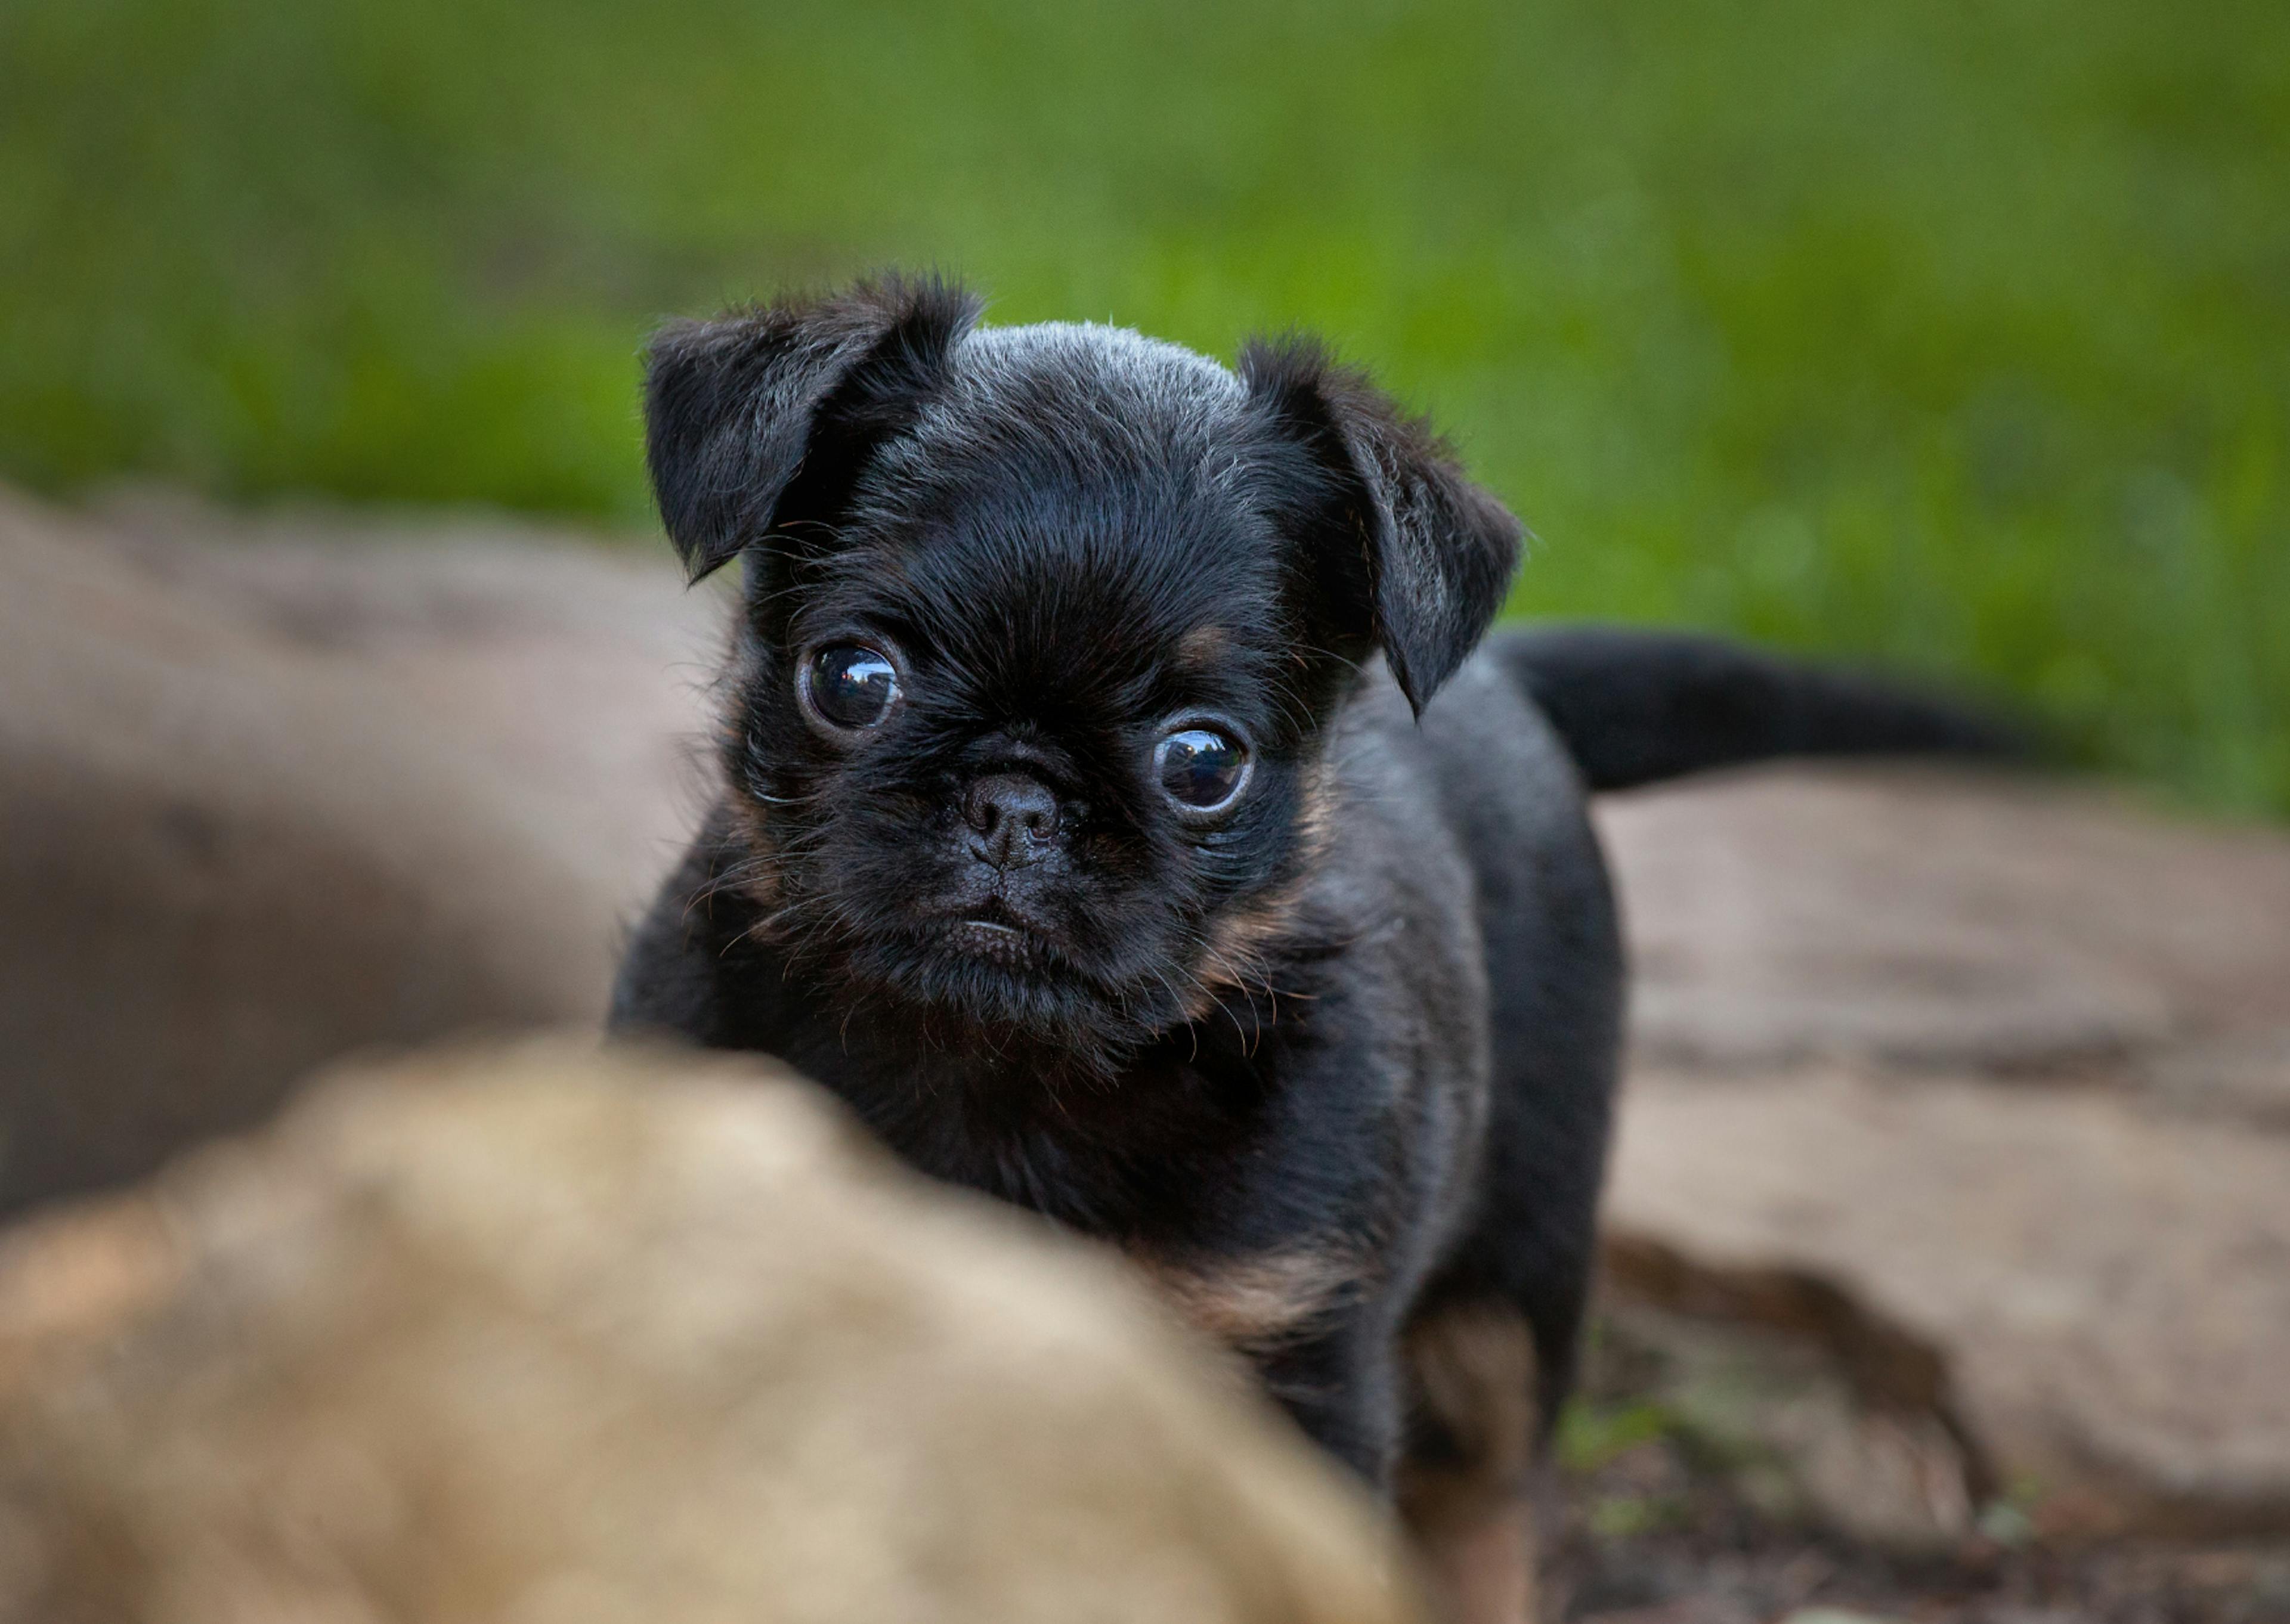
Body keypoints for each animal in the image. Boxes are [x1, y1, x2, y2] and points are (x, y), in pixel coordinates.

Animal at [618, 272, 2015, 1603]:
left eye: (1203, 762)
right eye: (851, 680)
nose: (1016, 799)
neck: (999, 1071)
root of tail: (1511, 677)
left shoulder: (1283, 1370)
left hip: (1509, 1298)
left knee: (1484, 1510)